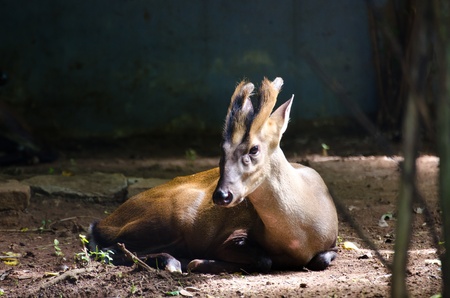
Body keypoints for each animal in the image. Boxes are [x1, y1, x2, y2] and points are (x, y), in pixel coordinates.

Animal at [89, 77, 338, 274]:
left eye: (254, 149)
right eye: (222, 148)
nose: (222, 195)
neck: (299, 236)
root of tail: (103, 222)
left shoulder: (333, 243)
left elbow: (320, 259)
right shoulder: (230, 236)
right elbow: (263, 260)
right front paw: (200, 262)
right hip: (168, 220)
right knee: (110, 249)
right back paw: (173, 262)